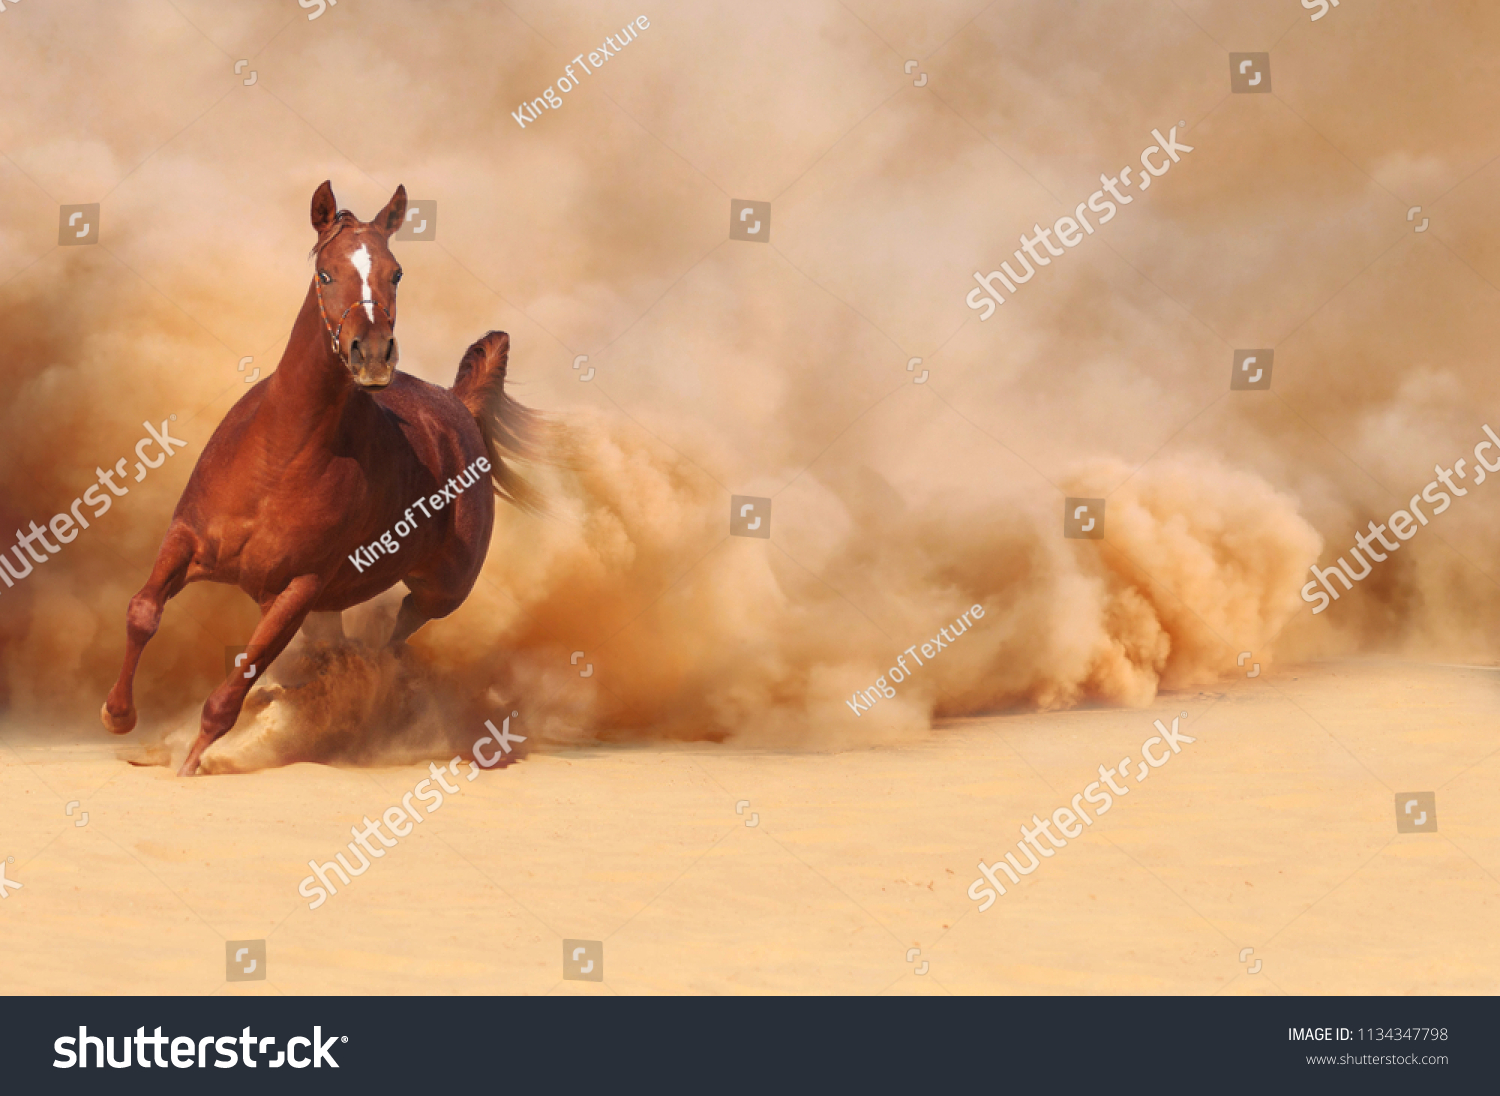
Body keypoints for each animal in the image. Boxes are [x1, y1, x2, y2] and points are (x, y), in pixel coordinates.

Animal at [101, 181, 538, 776]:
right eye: (327, 273)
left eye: (396, 272)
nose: (372, 356)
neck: (278, 457)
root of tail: (459, 406)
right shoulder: (187, 538)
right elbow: (143, 611)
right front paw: (117, 715)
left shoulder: (299, 587)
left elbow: (236, 684)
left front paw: (191, 762)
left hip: (440, 589)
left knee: (394, 636)